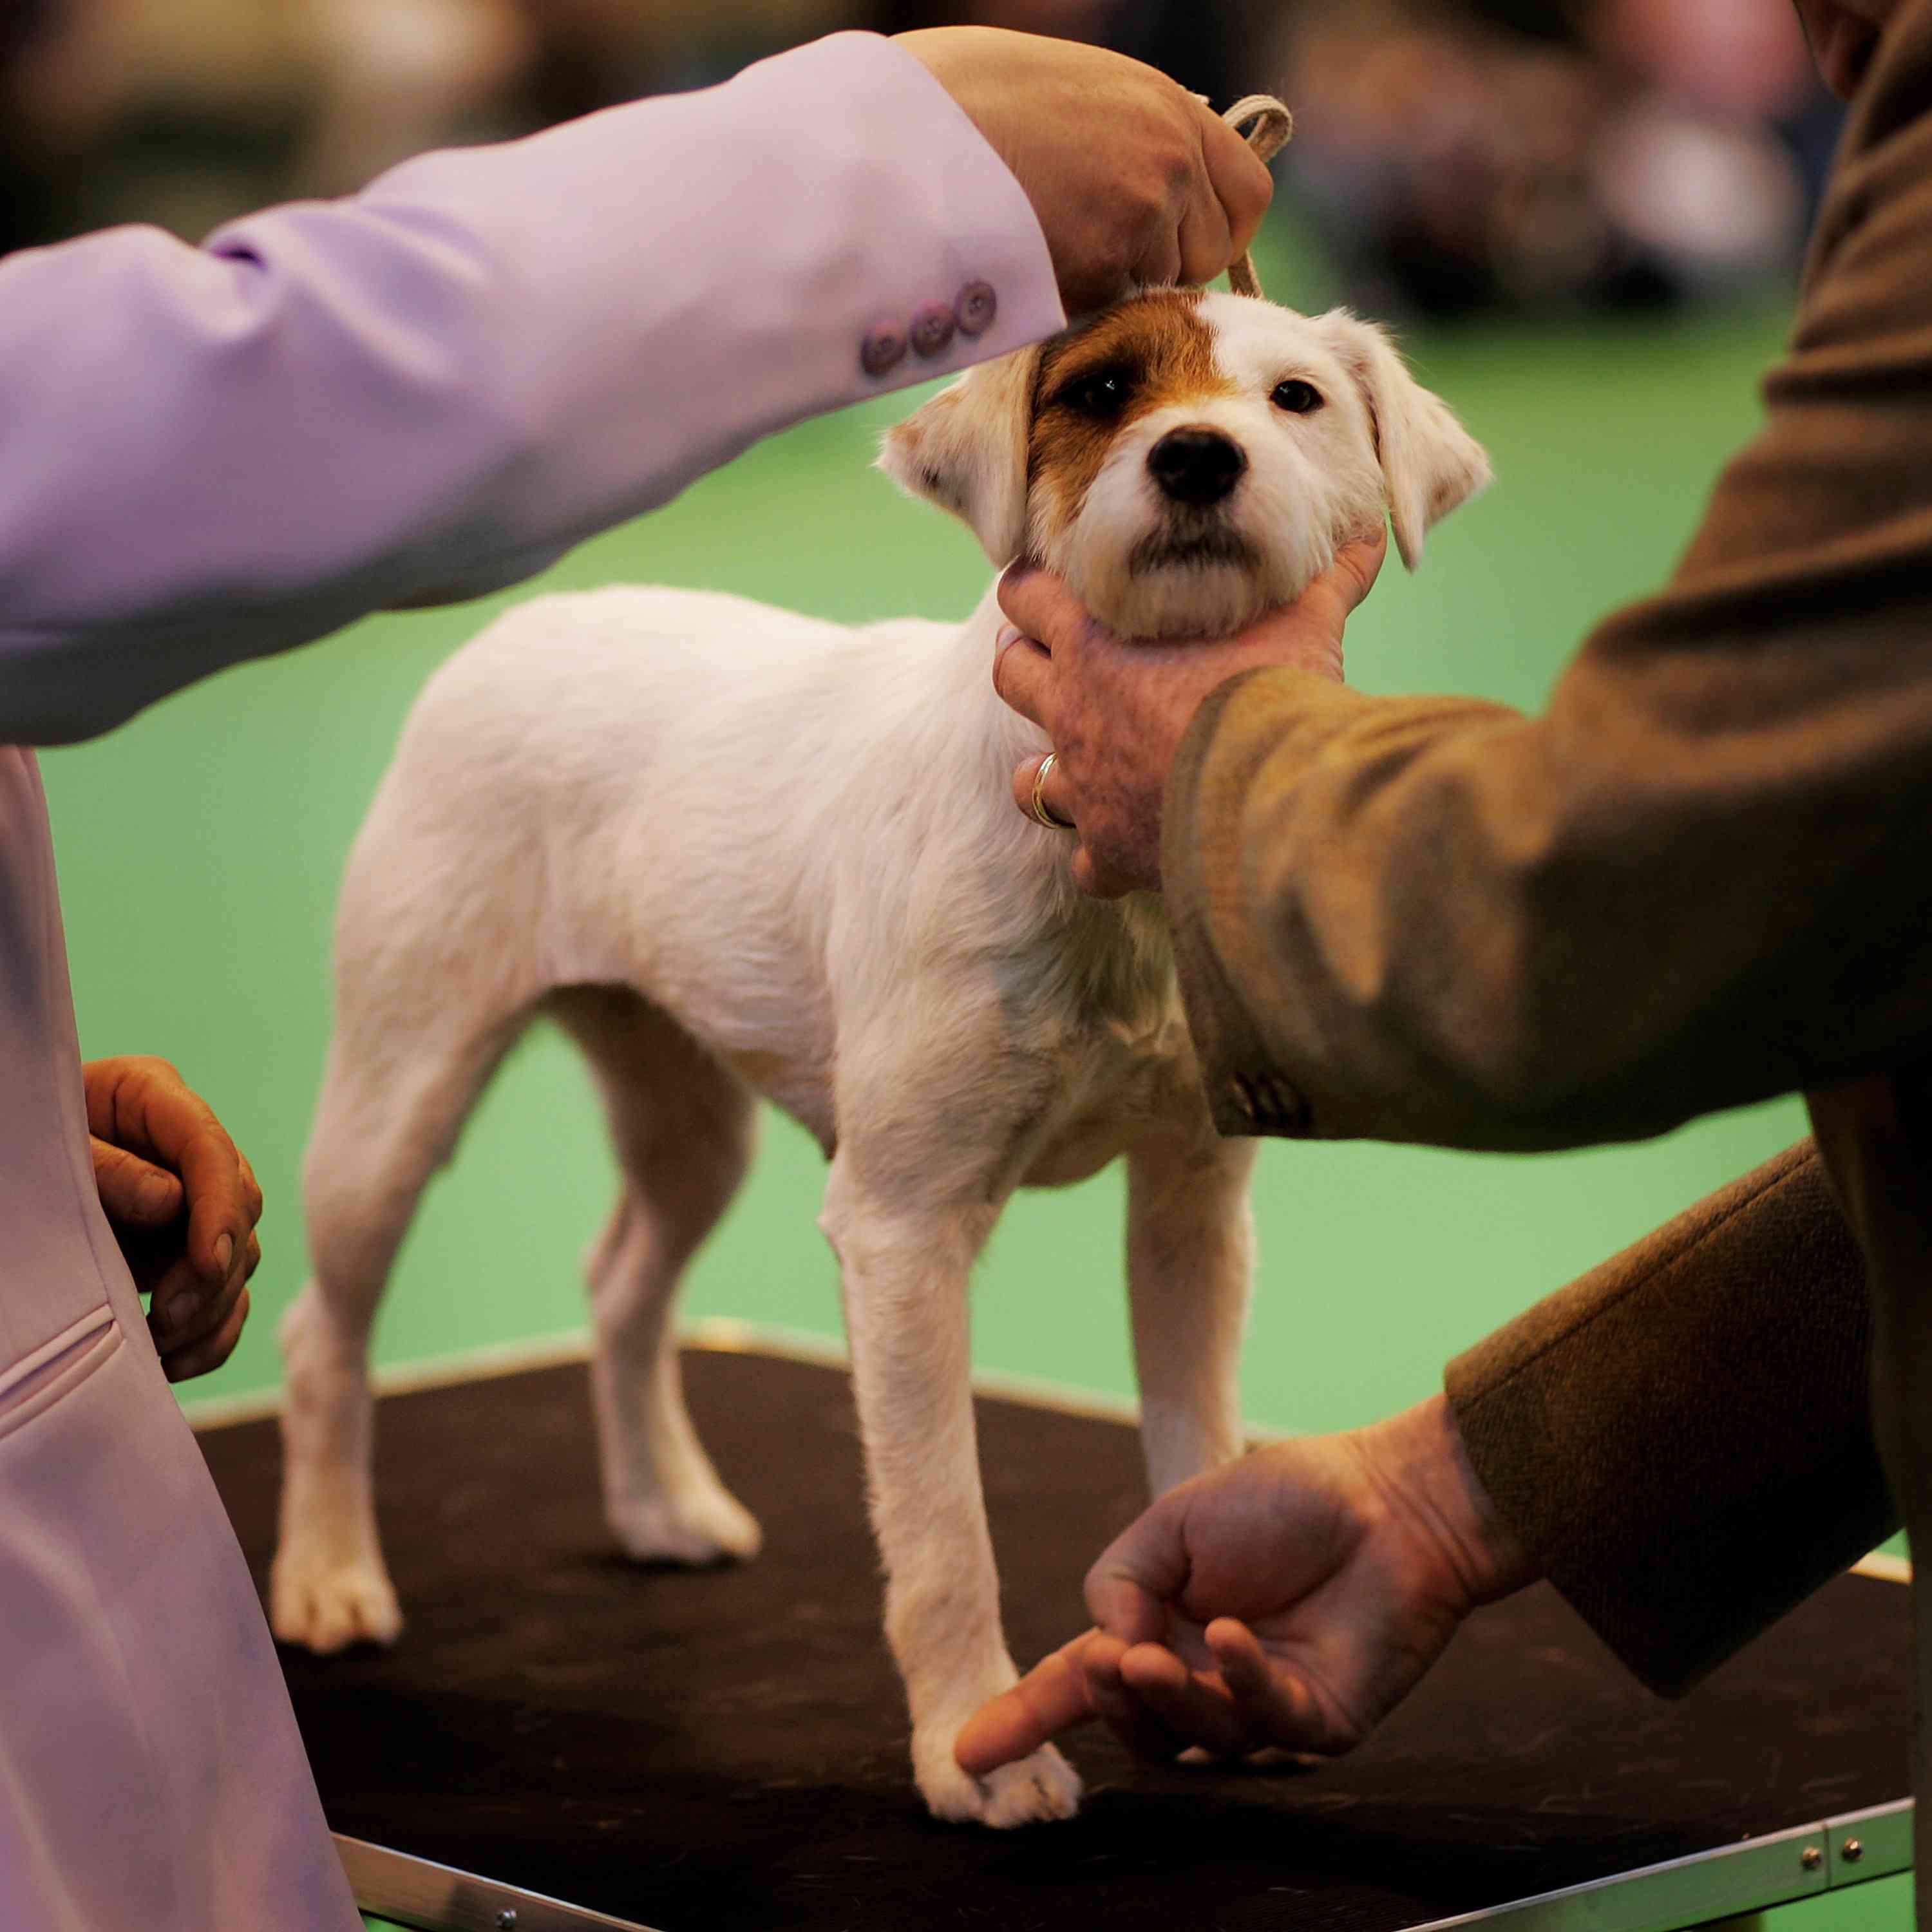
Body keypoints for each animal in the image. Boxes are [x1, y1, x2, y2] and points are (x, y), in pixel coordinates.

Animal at [272, 286, 1484, 1824]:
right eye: (1100, 391)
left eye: (1297, 399)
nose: (1199, 458)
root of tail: (516, 635)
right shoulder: (903, 1229)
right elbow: (941, 1524)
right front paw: (979, 1746)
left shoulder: (1190, 1210)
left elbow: (1193, 1436)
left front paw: (1217, 1645)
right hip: (400, 1087)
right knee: (326, 1333)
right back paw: (327, 1577)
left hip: (686, 1111)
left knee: (623, 1283)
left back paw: (662, 1506)